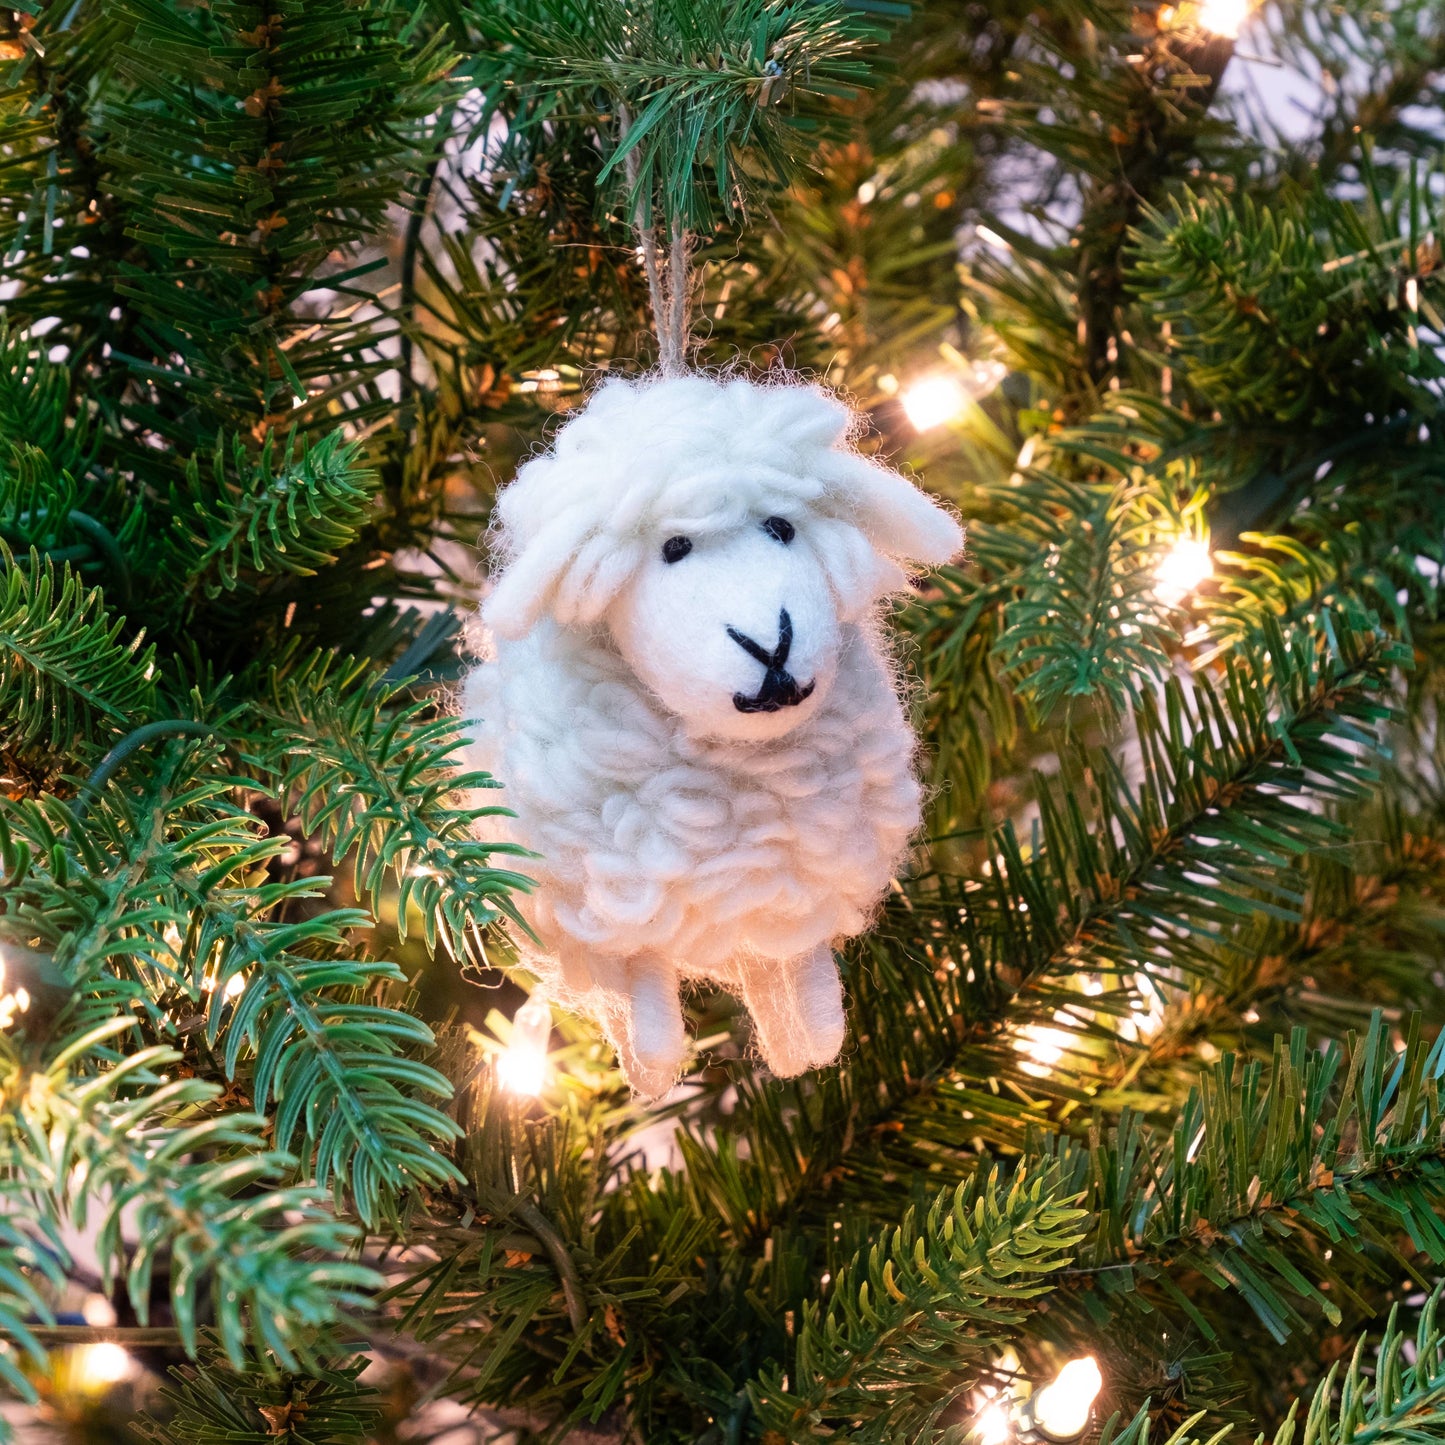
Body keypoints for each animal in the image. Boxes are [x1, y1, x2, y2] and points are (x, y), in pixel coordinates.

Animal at [461, 372, 963, 1096]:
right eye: (674, 548)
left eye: (781, 527)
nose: (771, 645)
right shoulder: (617, 903)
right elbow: (643, 986)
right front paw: (653, 1064)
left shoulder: (792, 890)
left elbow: (801, 969)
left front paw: (814, 1038)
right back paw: (649, 1069)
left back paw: (800, 1049)